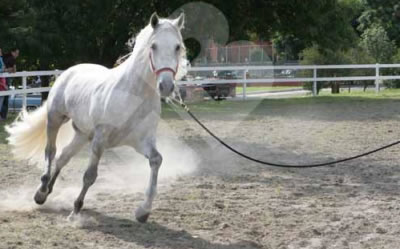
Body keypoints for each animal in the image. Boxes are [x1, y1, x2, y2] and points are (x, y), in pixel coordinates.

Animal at [6, 12, 188, 222]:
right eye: (153, 46)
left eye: (177, 46)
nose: (166, 86)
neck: (134, 94)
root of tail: (70, 71)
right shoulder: (100, 140)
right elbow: (90, 175)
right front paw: (75, 212)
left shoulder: (142, 141)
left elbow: (156, 160)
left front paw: (143, 211)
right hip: (55, 119)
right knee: (50, 151)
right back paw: (42, 190)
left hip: (83, 135)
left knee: (63, 157)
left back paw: (46, 192)